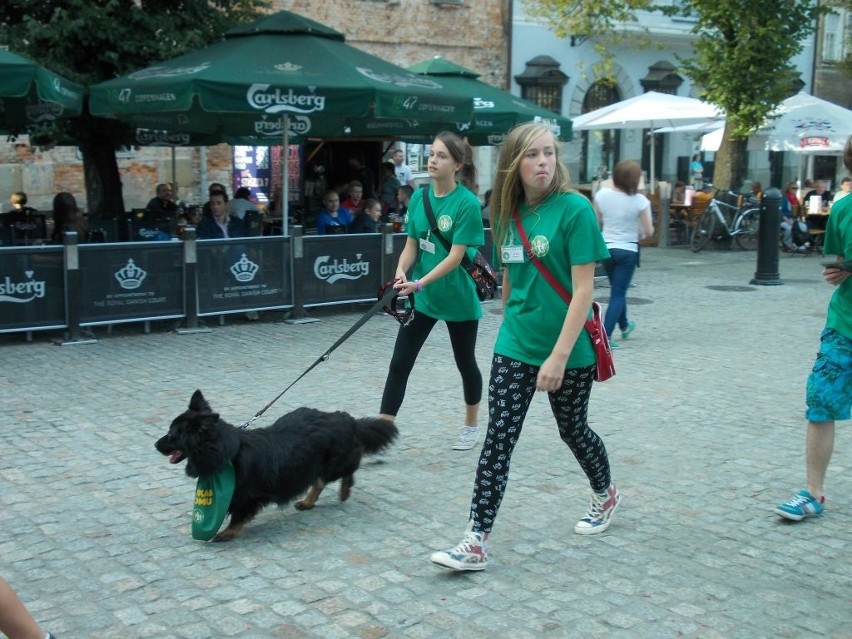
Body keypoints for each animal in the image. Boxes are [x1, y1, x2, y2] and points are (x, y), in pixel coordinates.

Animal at [156, 388, 400, 544]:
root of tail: (347, 419)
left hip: (335, 463)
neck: (226, 451)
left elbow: (237, 518)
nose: (155, 445)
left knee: (347, 471)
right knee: (319, 481)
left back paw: (344, 490)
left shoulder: (246, 497)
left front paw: (227, 533)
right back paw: (308, 502)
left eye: (172, 435)